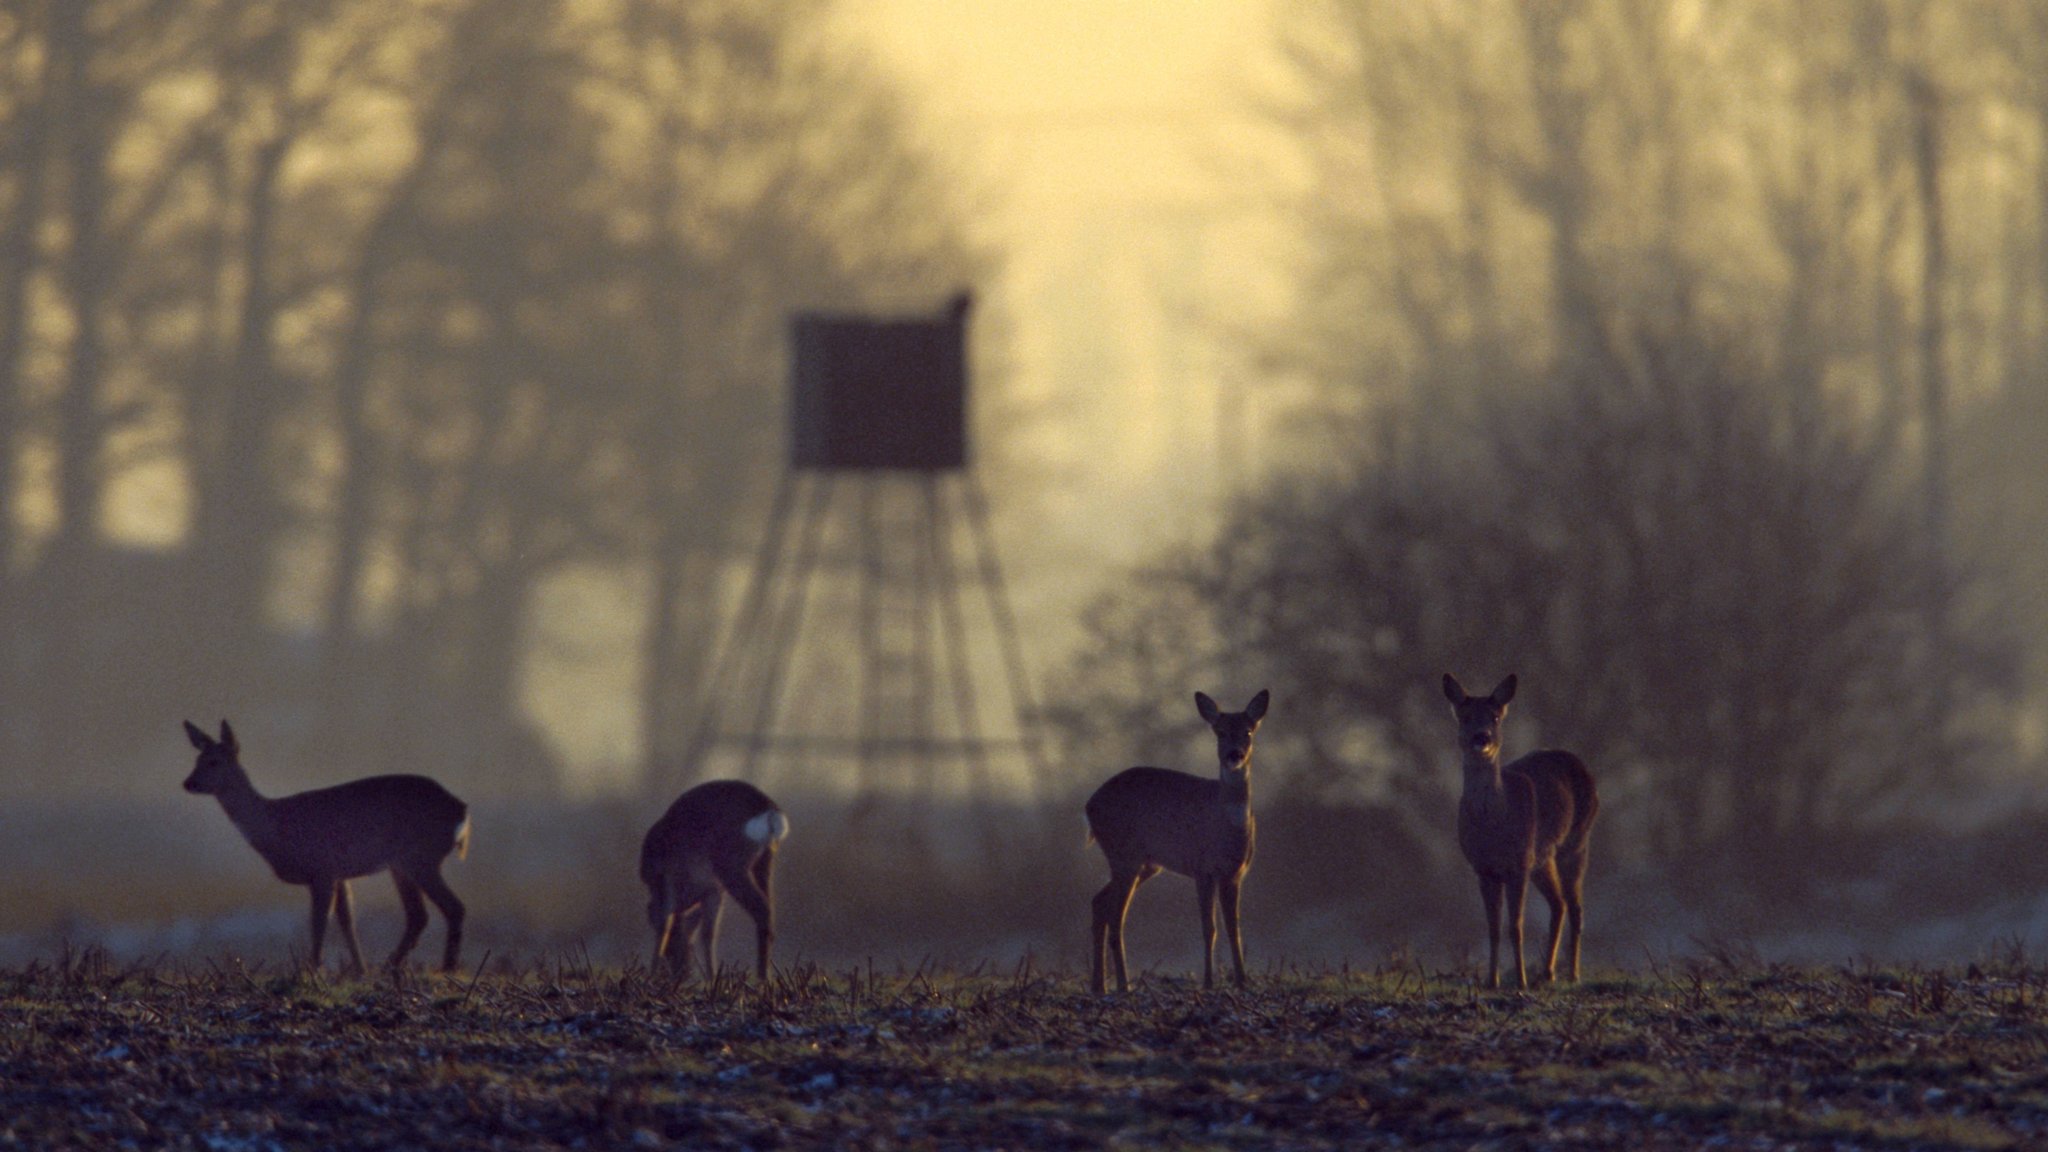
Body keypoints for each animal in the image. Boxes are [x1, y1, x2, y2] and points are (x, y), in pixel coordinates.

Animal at [181, 717, 471, 967]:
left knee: (453, 907)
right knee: (418, 915)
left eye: (214, 762)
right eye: (197, 759)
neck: (276, 826)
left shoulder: (322, 869)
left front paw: (313, 969)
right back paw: (392, 967)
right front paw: (359, 970)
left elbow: (319, 922)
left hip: (421, 856)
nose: (188, 783)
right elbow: (346, 920)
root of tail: (462, 810)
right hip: (402, 864)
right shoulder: (339, 873)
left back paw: (446, 968)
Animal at [638, 770, 782, 975]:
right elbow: (708, 935)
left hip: (731, 866)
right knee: (769, 908)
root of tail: (768, 808)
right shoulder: (713, 891)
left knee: (762, 908)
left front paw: (651, 974)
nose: (678, 972)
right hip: (764, 861)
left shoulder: (664, 879)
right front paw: (712, 978)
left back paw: (762, 977)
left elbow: (664, 922)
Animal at [1081, 684, 1269, 992]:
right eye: (1219, 731)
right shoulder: (1203, 868)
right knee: (1116, 916)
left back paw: (1100, 986)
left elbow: (1234, 928)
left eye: (1249, 730)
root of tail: (1089, 807)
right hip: (1124, 855)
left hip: (1145, 864)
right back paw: (1123, 985)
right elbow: (1209, 927)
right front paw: (1208, 983)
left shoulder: (1235, 873)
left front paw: (1242, 983)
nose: (1234, 755)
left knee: (1099, 902)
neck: (1227, 826)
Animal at [1441, 672, 1597, 988]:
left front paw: (1521, 981)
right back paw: (1548, 972)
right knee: (1559, 903)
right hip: (1542, 857)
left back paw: (1573, 974)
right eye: (1464, 716)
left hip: (1575, 841)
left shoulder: (1518, 864)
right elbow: (1493, 927)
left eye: (1496, 716)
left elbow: (1515, 926)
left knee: (1575, 906)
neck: (1495, 825)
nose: (1482, 737)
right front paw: (1492, 981)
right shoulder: (1484, 868)